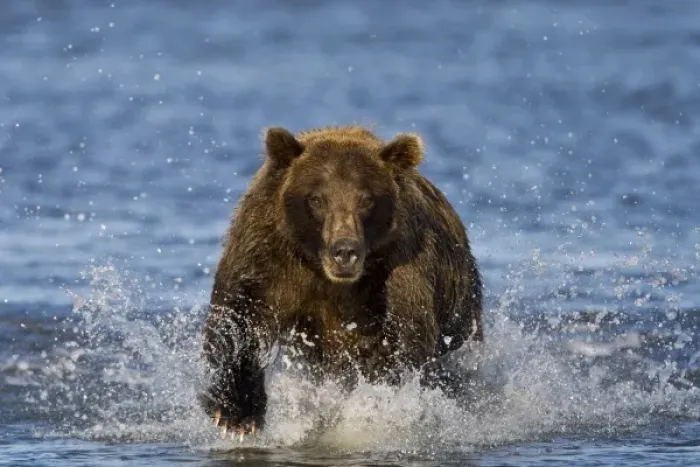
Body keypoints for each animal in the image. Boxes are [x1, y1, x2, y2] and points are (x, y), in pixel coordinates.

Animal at [199, 125, 483, 437]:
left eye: (366, 199)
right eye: (317, 199)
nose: (345, 251)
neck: (325, 273)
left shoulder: (398, 267)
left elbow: (401, 337)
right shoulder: (270, 253)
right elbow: (240, 316)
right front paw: (237, 414)